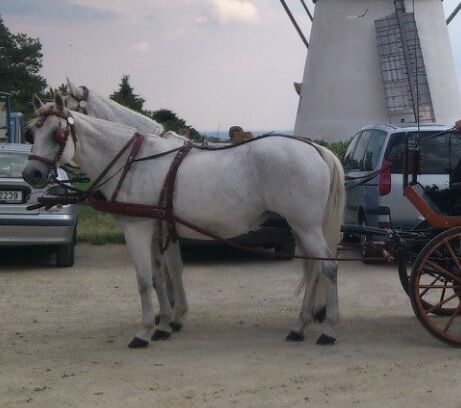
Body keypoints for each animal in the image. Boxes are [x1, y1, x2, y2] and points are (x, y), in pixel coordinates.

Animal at [23, 95, 344, 348]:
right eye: (32, 133)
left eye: (57, 134)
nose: (31, 175)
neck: (131, 162)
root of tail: (315, 149)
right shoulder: (157, 230)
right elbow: (160, 277)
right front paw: (165, 323)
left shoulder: (137, 230)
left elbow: (144, 280)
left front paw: (144, 332)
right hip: (299, 227)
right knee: (312, 269)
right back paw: (299, 327)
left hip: (306, 227)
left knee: (327, 268)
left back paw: (328, 330)